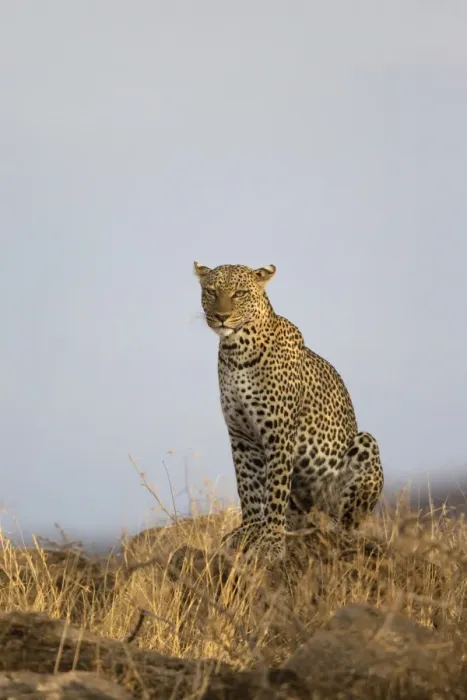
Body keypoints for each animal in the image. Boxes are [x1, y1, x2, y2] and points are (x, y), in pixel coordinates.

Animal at [194, 261, 384, 562]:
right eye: (211, 291)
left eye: (240, 293)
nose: (221, 317)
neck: (237, 352)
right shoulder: (241, 436)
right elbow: (248, 487)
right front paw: (249, 530)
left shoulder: (279, 435)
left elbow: (274, 492)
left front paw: (271, 542)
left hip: (365, 446)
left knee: (346, 523)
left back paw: (332, 533)